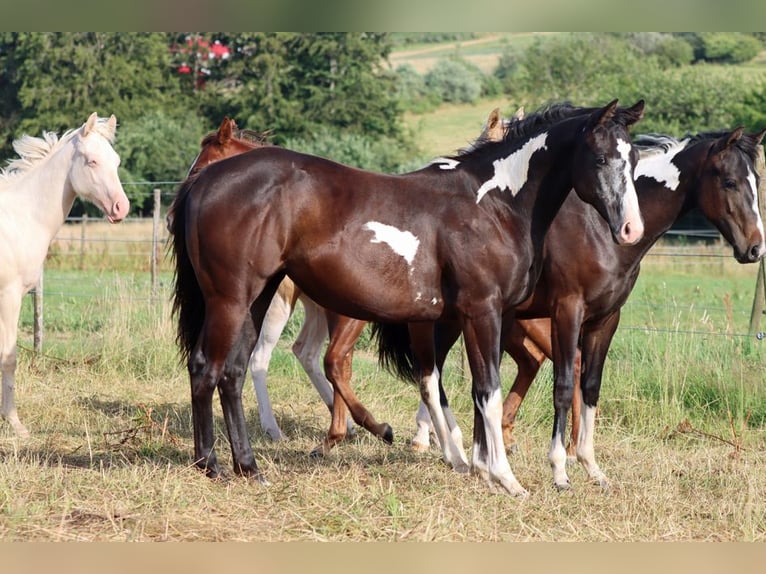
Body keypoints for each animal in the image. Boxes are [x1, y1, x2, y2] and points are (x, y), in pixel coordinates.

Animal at [0, 113, 129, 437]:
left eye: (116, 161)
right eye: (92, 161)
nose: (122, 208)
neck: (21, 217)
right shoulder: (8, 297)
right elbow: (9, 358)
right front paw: (15, 423)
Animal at [169, 99, 646, 496]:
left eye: (634, 158)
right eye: (600, 158)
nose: (630, 230)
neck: (493, 204)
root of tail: (207, 183)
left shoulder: (467, 317)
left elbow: (470, 390)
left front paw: (479, 467)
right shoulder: (482, 311)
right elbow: (486, 391)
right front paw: (505, 478)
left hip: (258, 297)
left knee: (233, 373)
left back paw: (249, 467)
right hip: (231, 299)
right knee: (206, 368)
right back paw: (211, 464)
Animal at [395, 126, 766, 490]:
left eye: (756, 181)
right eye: (729, 181)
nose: (755, 248)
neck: (600, 227)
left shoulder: (606, 319)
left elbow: (590, 386)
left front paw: (591, 467)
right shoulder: (567, 311)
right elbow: (562, 386)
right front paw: (560, 471)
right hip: (446, 321)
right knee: (432, 375)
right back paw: (445, 446)